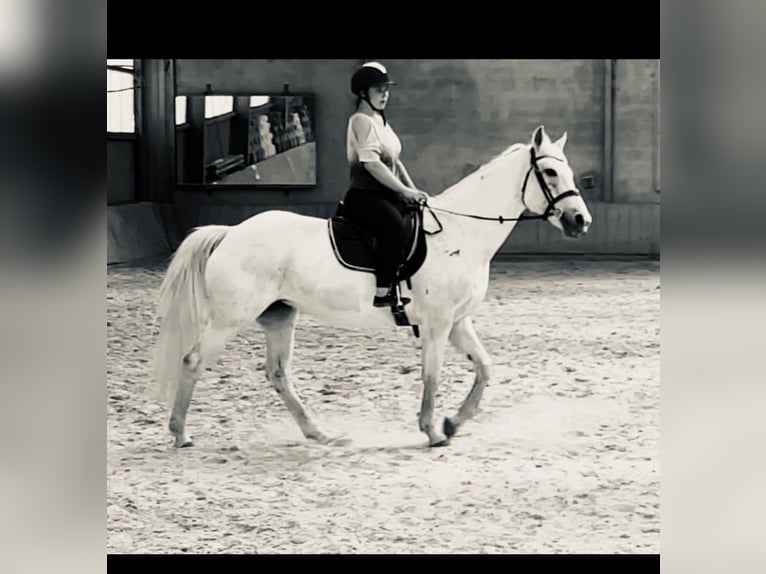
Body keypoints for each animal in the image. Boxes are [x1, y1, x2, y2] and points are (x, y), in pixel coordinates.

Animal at [153, 125, 592, 448]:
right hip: (230, 318)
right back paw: (180, 433)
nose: (580, 221)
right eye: (550, 173)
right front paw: (432, 430)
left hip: (279, 315)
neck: (461, 232)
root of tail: (231, 232)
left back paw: (318, 432)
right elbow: (431, 375)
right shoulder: (436, 324)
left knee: (278, 374)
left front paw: (453, 422)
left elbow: (484, 368)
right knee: (193, 361)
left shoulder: (458, 322)